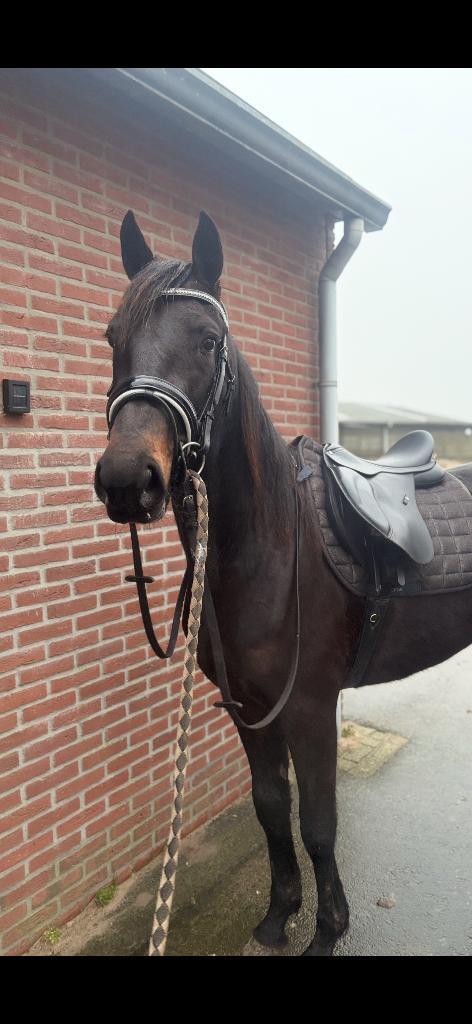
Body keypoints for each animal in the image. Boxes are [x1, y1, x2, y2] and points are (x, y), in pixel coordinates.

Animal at [94, 209, 472, 956]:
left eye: (209, 340)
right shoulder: (248, 708)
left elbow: (319, 823)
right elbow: (271, 808)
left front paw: (328, 930)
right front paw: (279, 914)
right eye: (113, 337)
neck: (267, 553)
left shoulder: (311, 708)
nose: (127, 479)